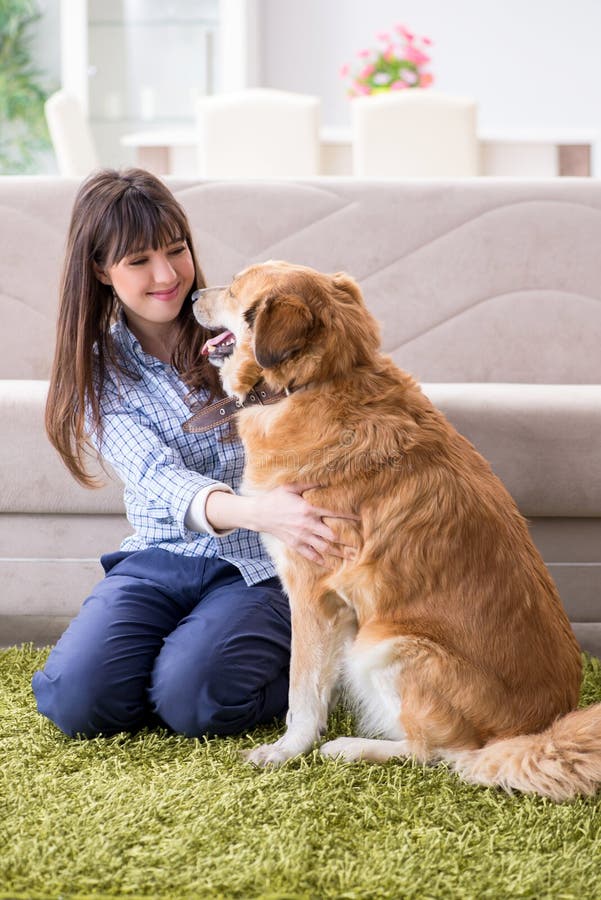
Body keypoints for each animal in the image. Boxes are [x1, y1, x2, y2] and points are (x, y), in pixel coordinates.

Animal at [192, 262, 600, 800]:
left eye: (236, 288)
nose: (192, 295)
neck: (317, 381)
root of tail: (536, 730)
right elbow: (317, 682)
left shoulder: (311, 590)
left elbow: (302, 690)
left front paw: (285, 750)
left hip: (387, 646)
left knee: (442, 754)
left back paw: (353, 747)